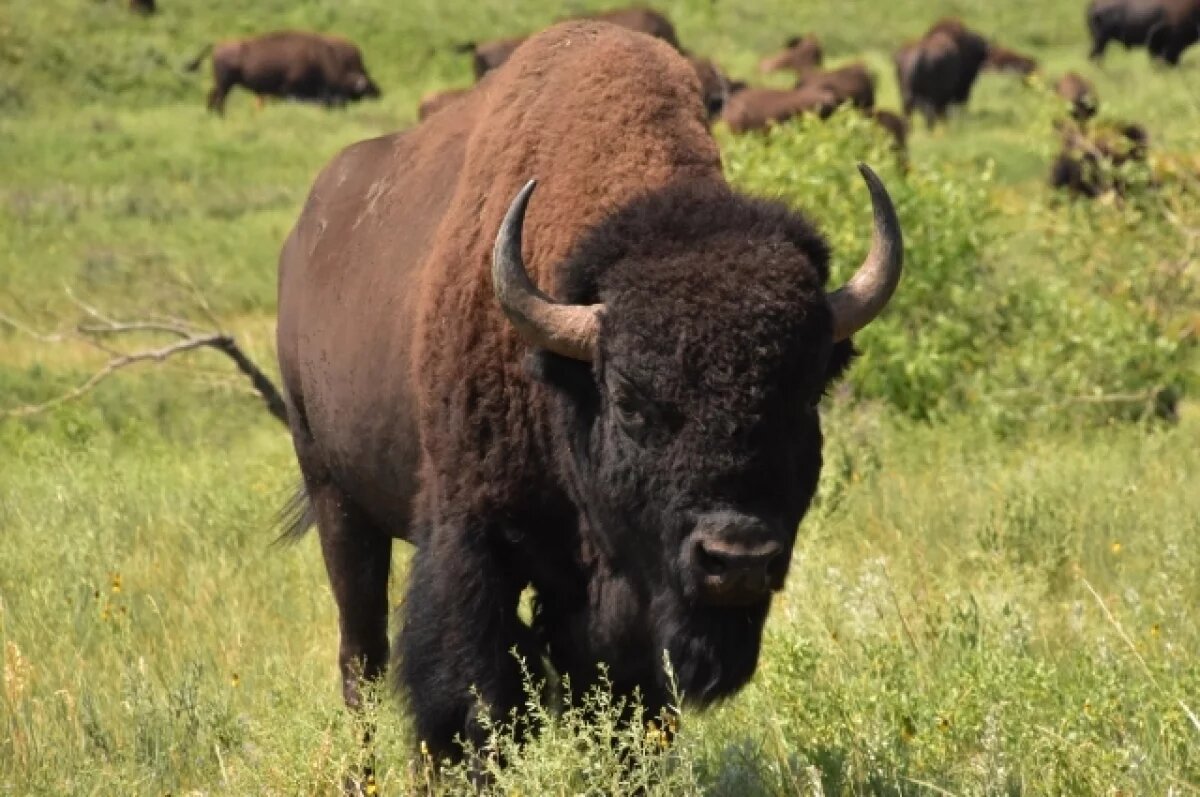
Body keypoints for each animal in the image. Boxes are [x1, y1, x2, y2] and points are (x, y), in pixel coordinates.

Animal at [186, 31, 380, 114]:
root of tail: (217, 45)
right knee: (219, 99)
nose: (378, 93)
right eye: (344, 89)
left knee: (213, 97)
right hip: (225, 84)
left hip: (222, 83)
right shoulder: (290, 90)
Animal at [277, 21, 902, 761]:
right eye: (630, 403)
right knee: (363, 659)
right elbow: (470, 698)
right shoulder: (470, 537)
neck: (563, 380)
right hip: (336, 496)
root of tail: (305, 237)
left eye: (804, 399)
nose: (737, 559)